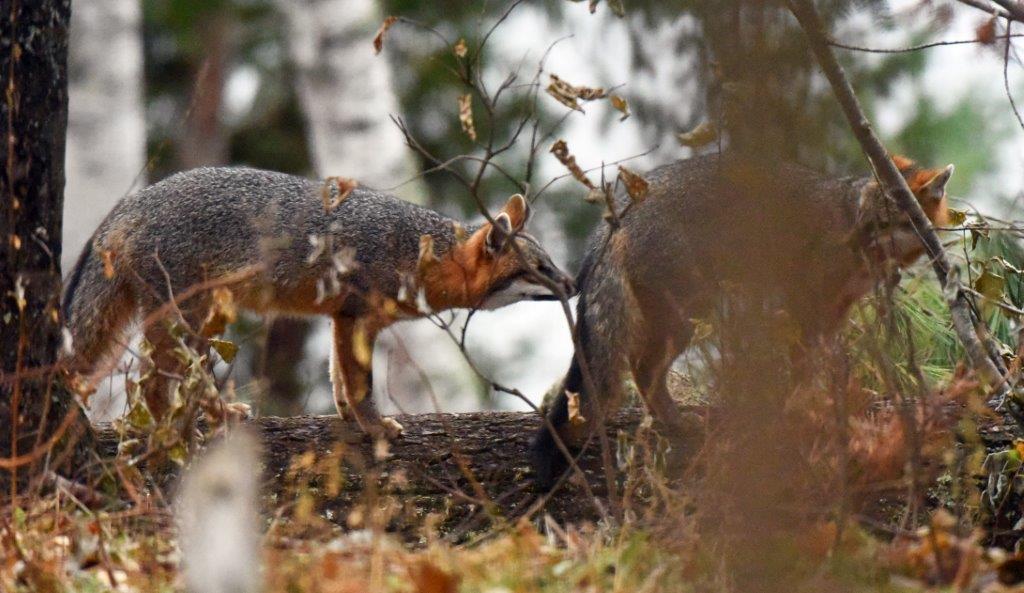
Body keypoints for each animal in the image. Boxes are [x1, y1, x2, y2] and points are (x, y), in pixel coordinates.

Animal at [62, 167, 575, 438]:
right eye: (539, 270)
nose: (574, 284)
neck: (418, 250)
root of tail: (131, 203)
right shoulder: (358, 319)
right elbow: (360, 382)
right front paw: (374, 427)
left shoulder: (341, 318)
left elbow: (337, 377)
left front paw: (348, 418)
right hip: (186, 323)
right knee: (153, 383)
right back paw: (171, 429)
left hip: (200, 324)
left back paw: (217, 417)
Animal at [531, 153, 954, 489]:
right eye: (864, 217)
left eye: (881, 224)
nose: (848, 240)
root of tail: (620, 211)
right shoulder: (807, 302)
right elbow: (804, 364)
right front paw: (798, 405)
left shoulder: (836, 308)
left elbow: (822, 360)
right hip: (687, 317)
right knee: (643, 368)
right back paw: (676, 420)